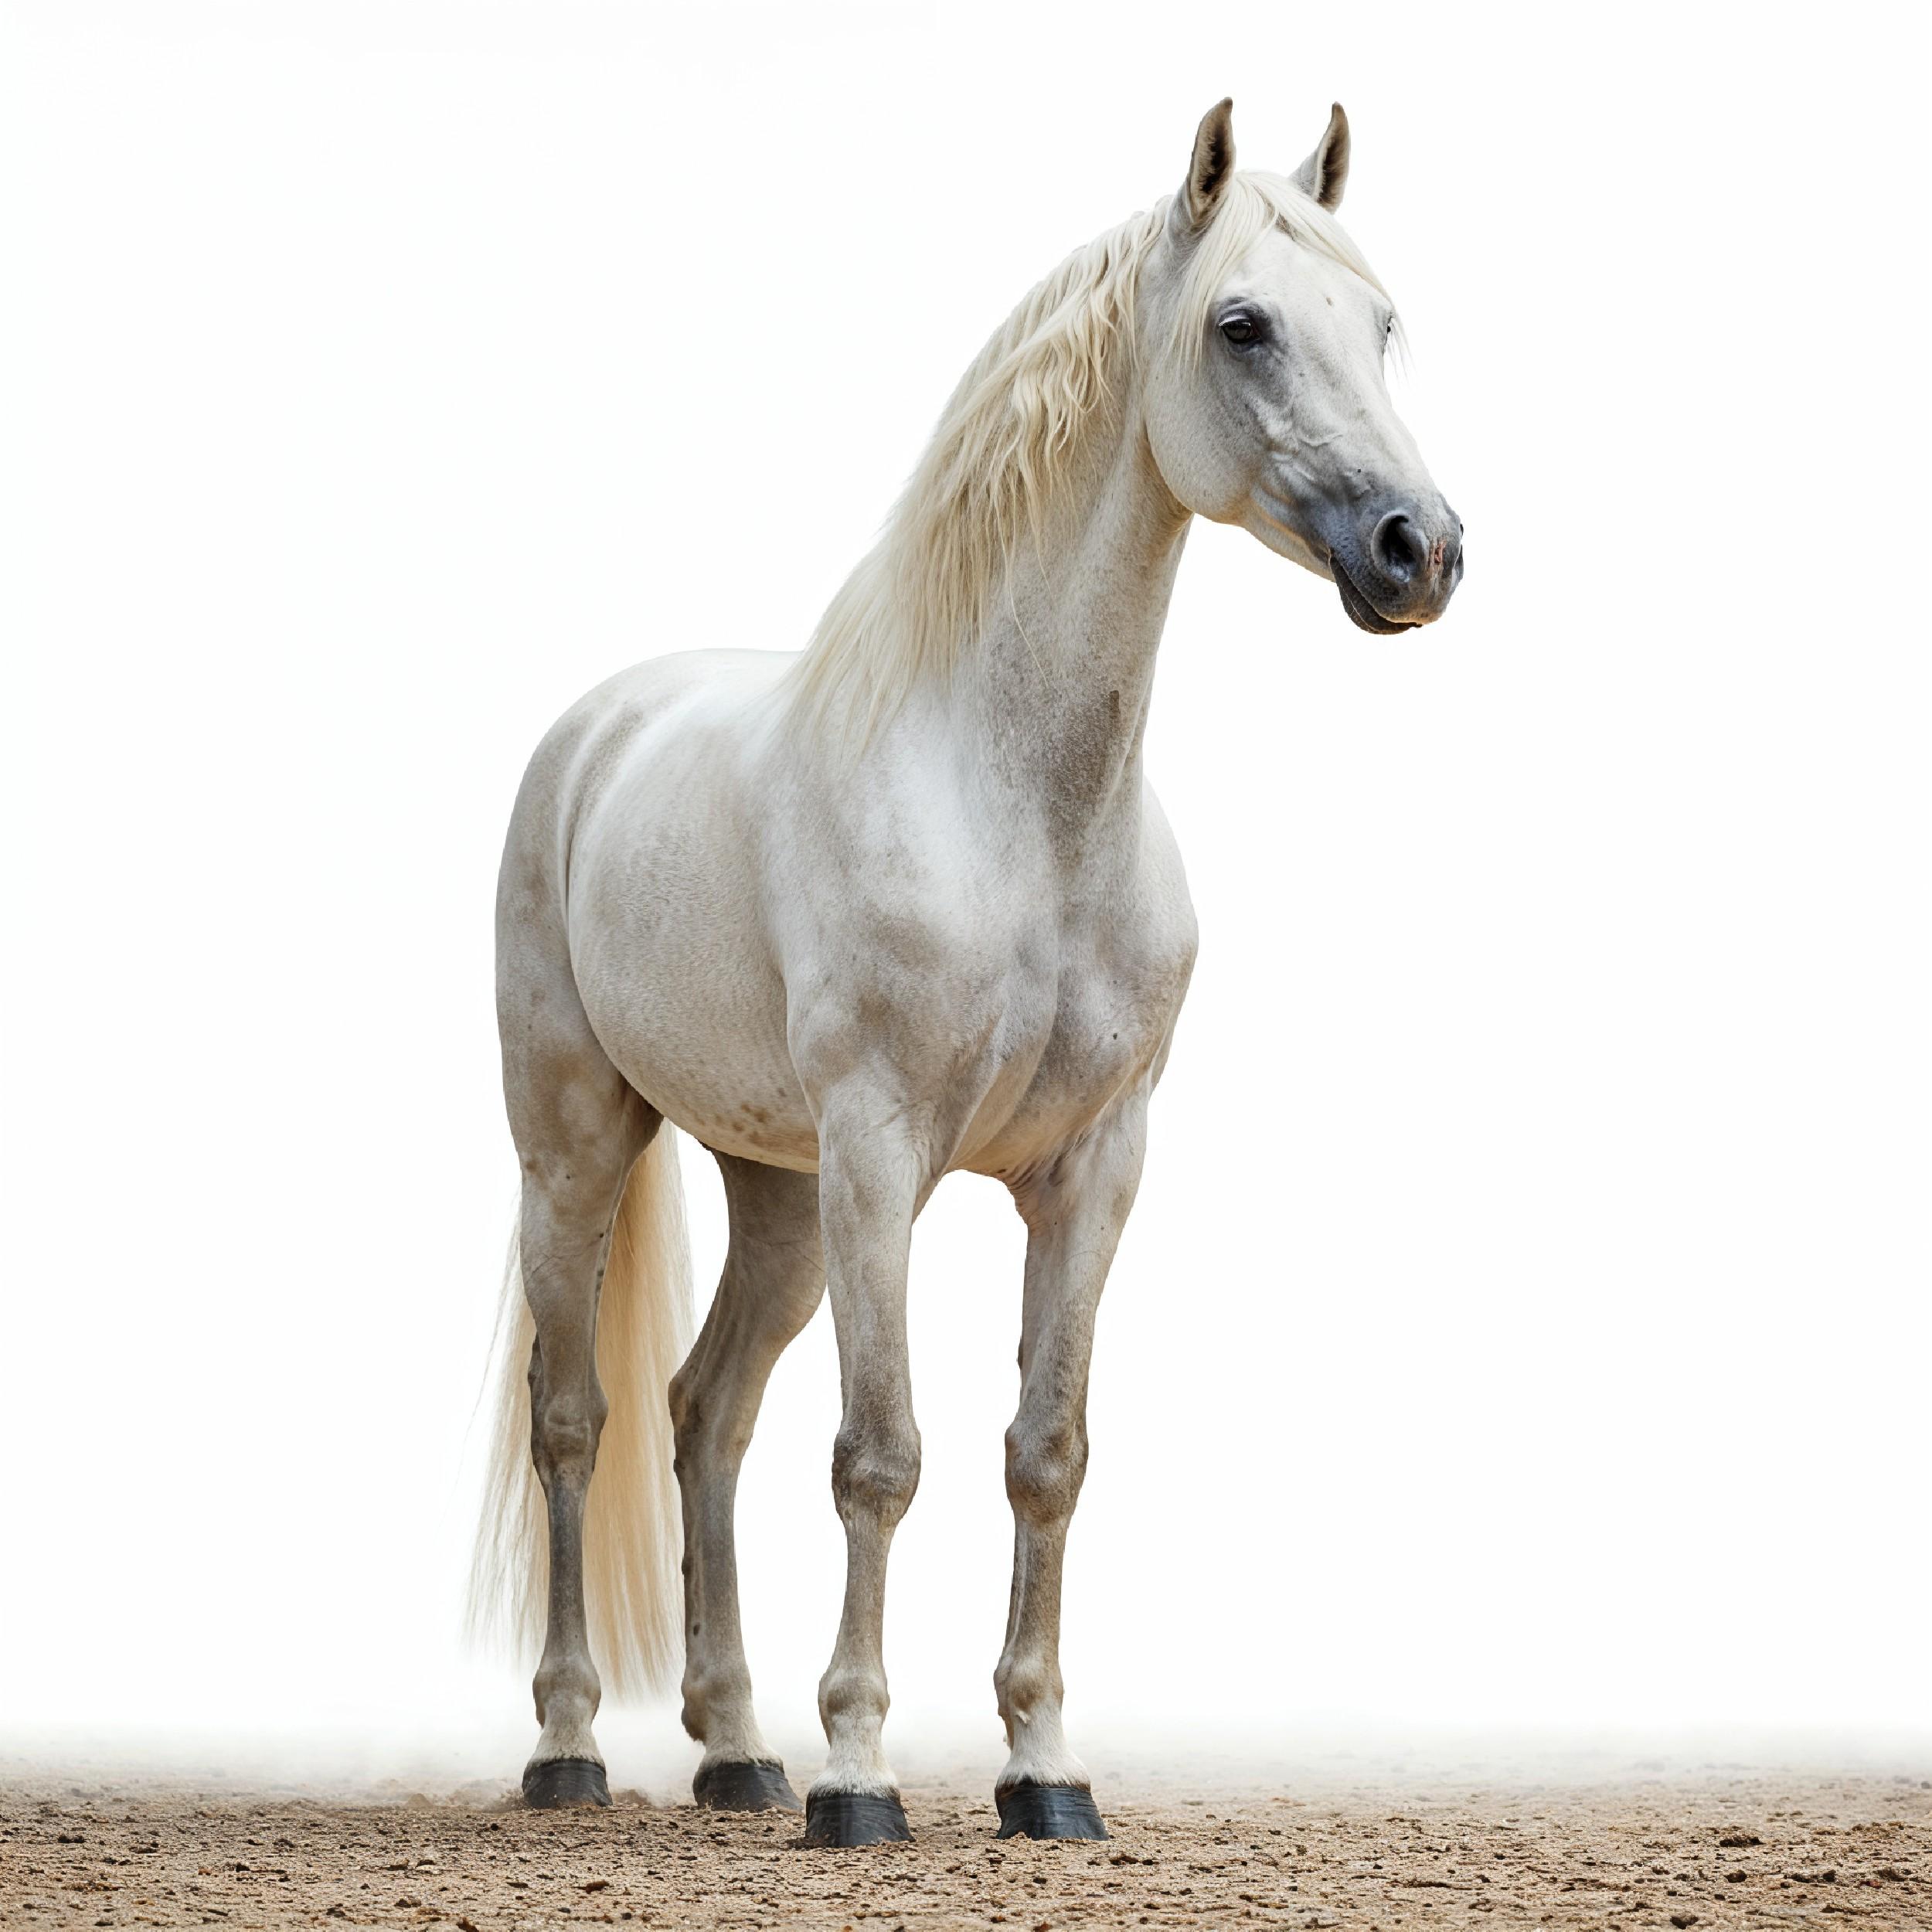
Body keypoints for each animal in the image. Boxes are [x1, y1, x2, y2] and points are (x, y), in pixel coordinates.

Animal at [468, 97, 1462, 1847]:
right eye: (1244, 324)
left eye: (1383, 323)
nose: (1421, 551)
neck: (1020, 812)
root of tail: (599, 728)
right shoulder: (884, 1157)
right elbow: (880, 1454)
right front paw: (862, 1776)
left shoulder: (1093, 1168)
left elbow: (1043, 1451)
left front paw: (1042, 1767)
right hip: (579, 1147)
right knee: (576, 1418)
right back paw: (576, 1747)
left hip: (777, 1194)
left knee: (705, 1414)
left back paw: (735, 1749)